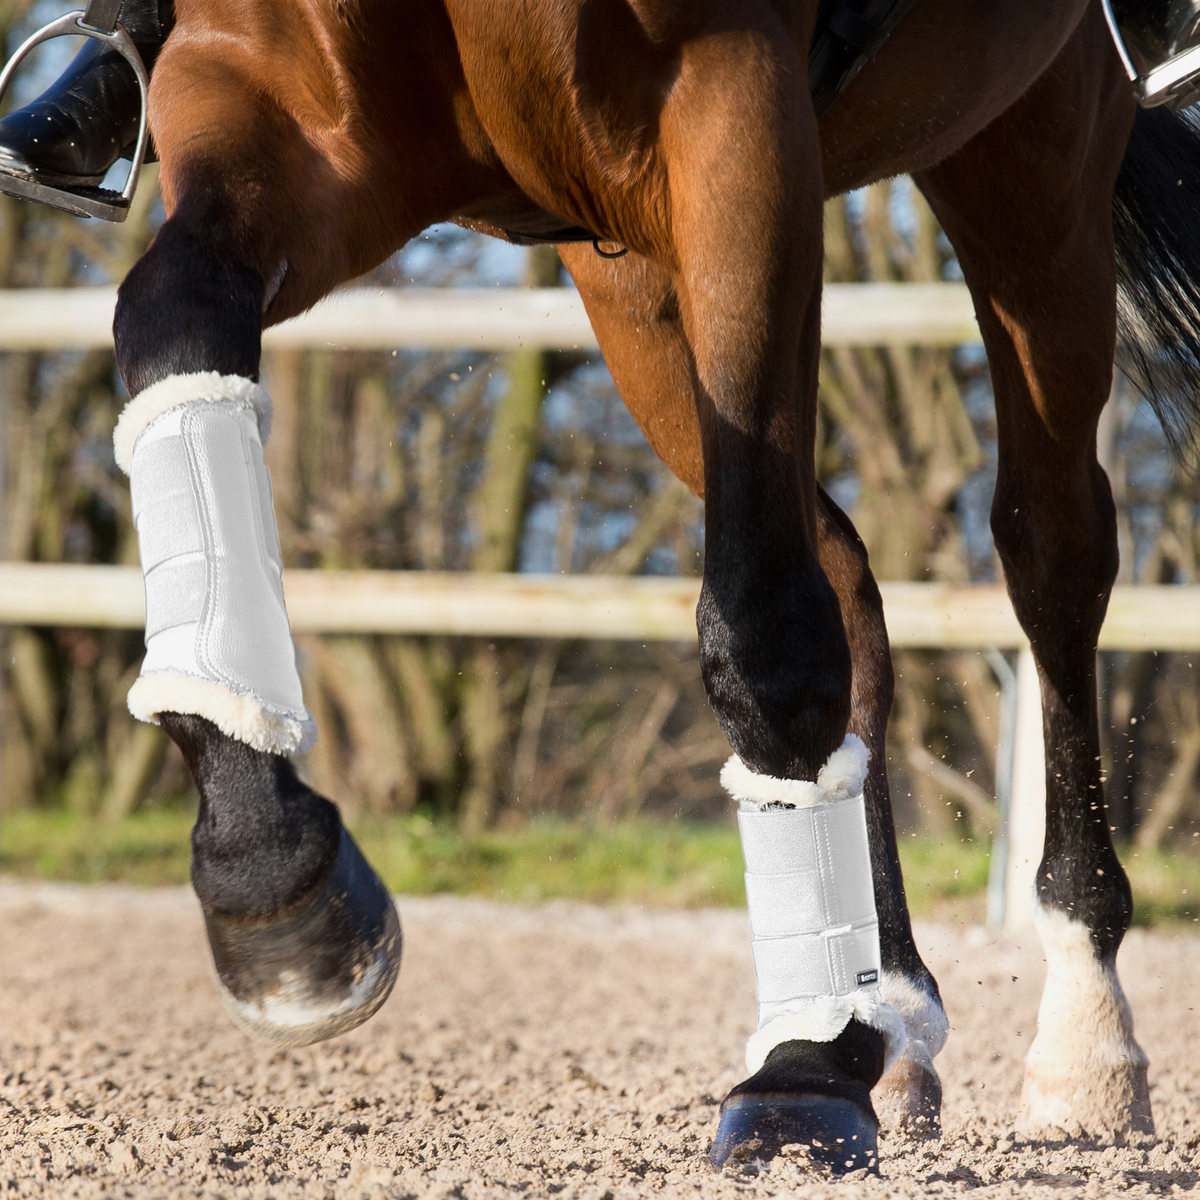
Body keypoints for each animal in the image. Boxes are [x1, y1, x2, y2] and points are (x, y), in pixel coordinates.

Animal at [98, 0, 1195, 1180]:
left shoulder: (729, 108)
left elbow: (762, 624)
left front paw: (802, 1072)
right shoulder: (269, 90)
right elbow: (172, 315)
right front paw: (269, 878)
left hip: (1030, 157)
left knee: (1050, 554)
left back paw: (1082, 1033)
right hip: (633, 284)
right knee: (849, 575)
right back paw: (889, 1013)